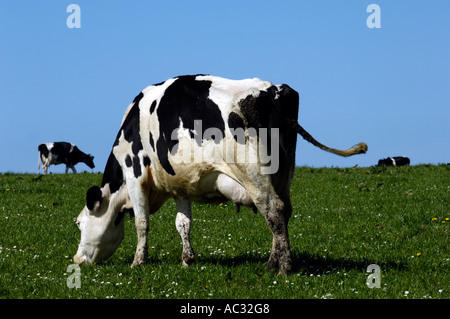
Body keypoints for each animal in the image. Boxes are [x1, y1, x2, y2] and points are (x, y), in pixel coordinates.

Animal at [74, 75, 368, 276]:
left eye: (78, 223)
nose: (77, 260)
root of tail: (273, 90)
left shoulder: (135, 173)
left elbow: (141, 222)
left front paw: (138, 262)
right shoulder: (181, 183)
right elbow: (183, 223)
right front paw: (188, 260)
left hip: (254, 172)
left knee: (274, 210)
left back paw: (284, 266)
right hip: (284, 172)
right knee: (284, 211)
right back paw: (272, 262)